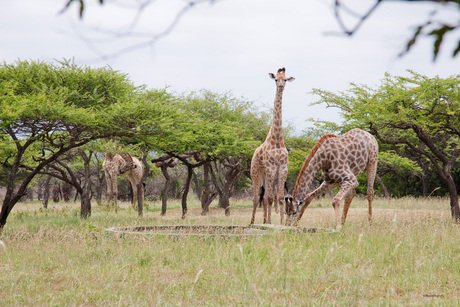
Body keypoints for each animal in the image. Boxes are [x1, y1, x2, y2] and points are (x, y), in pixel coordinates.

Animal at [250, 68, 296, 225]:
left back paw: (265, 220)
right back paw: (253, 221)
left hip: (267, 175)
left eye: (285, 79)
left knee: (265, 196)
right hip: (256, 173)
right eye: (276, 79)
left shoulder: (282, 168)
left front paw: (282, 223)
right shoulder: (270, 168)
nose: (281, 86)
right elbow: (269, 198)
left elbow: (280, 198)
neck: (276, 140)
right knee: (257, 197)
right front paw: (270, 222)